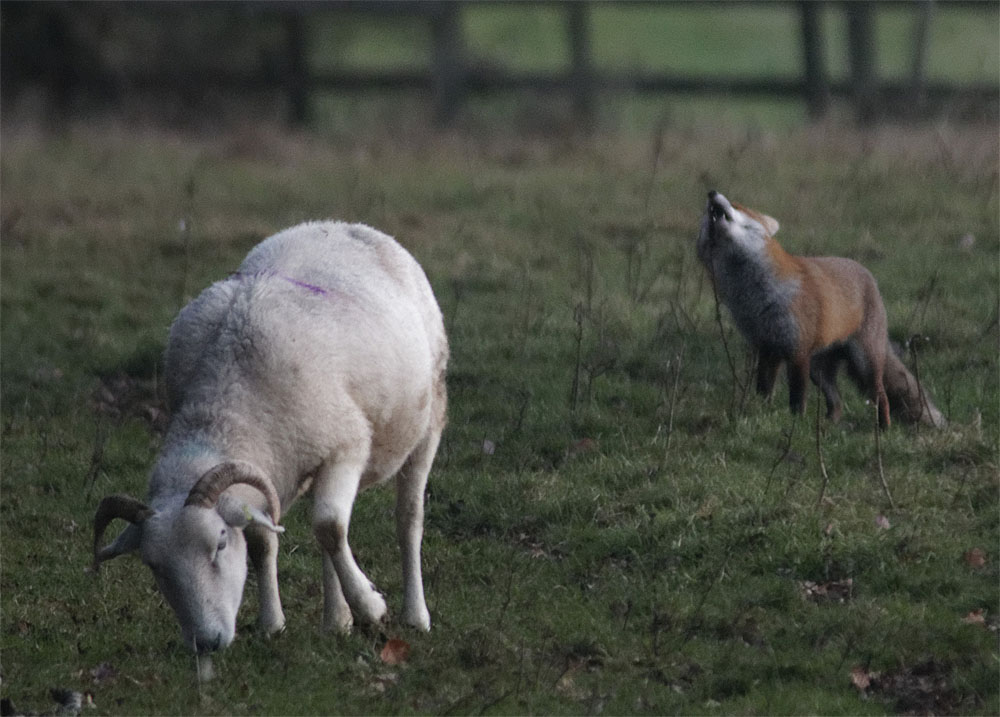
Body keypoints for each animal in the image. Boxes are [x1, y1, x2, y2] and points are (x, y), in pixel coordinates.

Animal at [696, 190, 945, 428]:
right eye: (704, 220)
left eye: (736, 205)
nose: (711, 192)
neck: (756, 296)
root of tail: (867, 274)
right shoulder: (767, 349)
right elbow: (764, 390)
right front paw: (762, 413)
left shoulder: (797, 351)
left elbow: (797, 398)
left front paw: (795, 424)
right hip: (820, 372)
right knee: (837, 402)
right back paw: (829, 426)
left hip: (864, 362)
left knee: (881, 396)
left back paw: (883, 429)